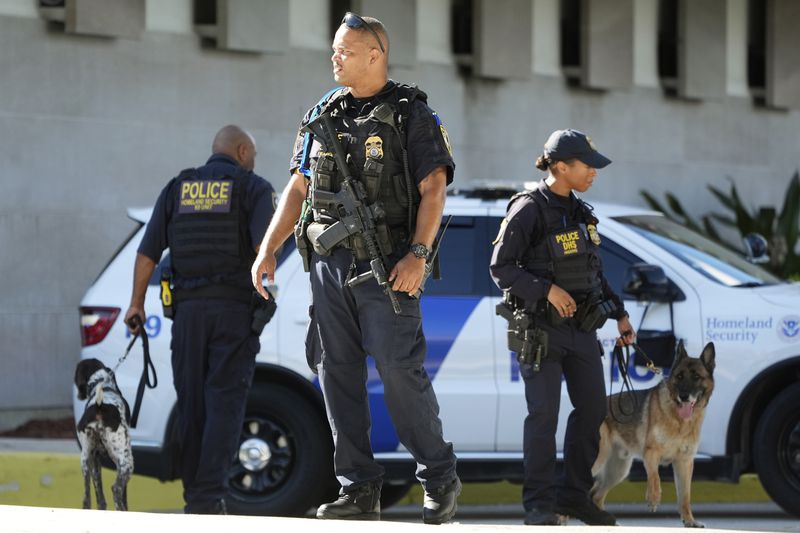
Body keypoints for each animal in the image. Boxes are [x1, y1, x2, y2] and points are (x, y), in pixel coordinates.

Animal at [74, 358, 134, 512]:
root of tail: (99, 406)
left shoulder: (95, 459)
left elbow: (99, 497)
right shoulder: (119, 463)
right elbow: (124, 495)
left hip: (85, 460)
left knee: (86, 498)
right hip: (126, 461)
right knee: (116, 489)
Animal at [592, 340, 716, 524]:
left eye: (696, 377)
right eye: (679, 376)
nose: (684, 396)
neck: (679, 422)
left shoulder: (684, 463)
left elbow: (685, 496)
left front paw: (689, 521)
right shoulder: (651, 453)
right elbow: (655, 477)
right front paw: (653, 499)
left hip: (618, 471)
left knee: (596, 496)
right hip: (599, 460)